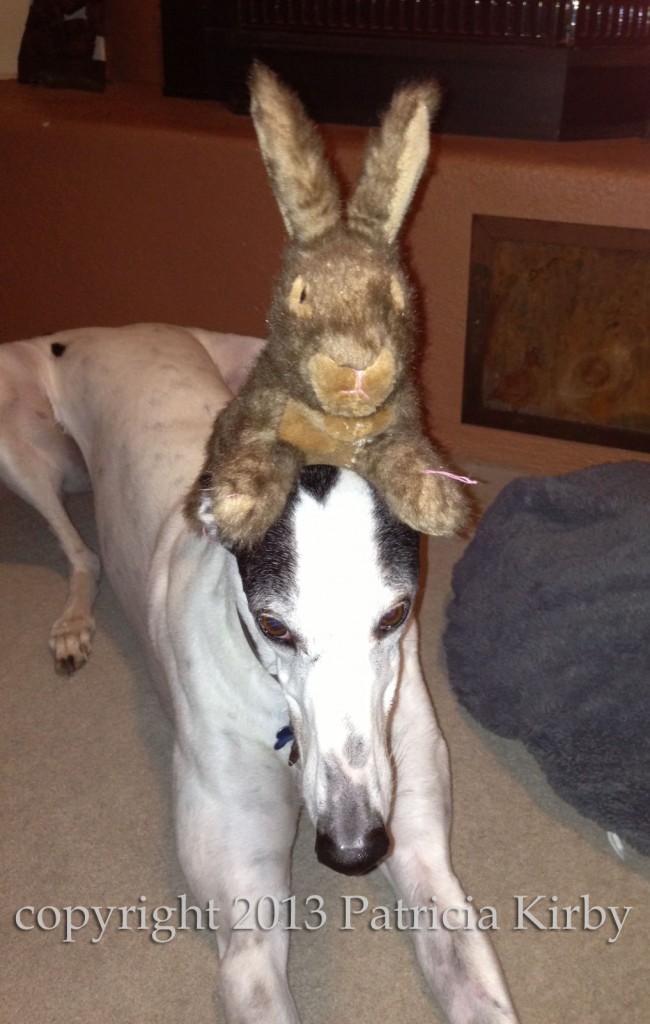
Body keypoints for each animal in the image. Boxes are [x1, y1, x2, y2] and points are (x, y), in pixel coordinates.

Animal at [0, 325, 517, 1024]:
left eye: (395, 615)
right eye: (274, 627)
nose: (352, 849)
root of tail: (118, 329)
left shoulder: (425, 858)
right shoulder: (248, 932)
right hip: (17, 441)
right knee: (81, 551)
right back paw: (72, 625)